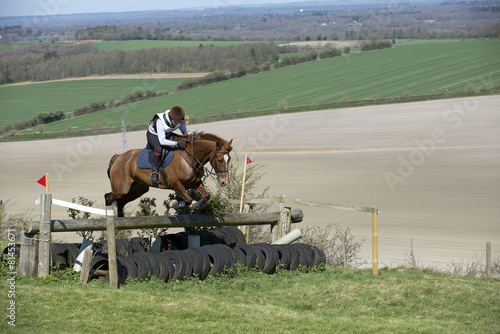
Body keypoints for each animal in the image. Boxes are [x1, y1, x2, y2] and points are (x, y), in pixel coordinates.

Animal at [104, 131, 233, 217]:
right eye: (220, 160)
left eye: (229, 159)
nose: (224, 182)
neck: (190, 157)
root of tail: (119, 157)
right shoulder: (175, 183)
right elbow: (188, 200)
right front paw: (173, 204)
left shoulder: (194, 183)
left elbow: (206, 196)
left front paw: (196, 206)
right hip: (121, 189)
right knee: (108, 197)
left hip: (137, 189)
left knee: (120, 202)